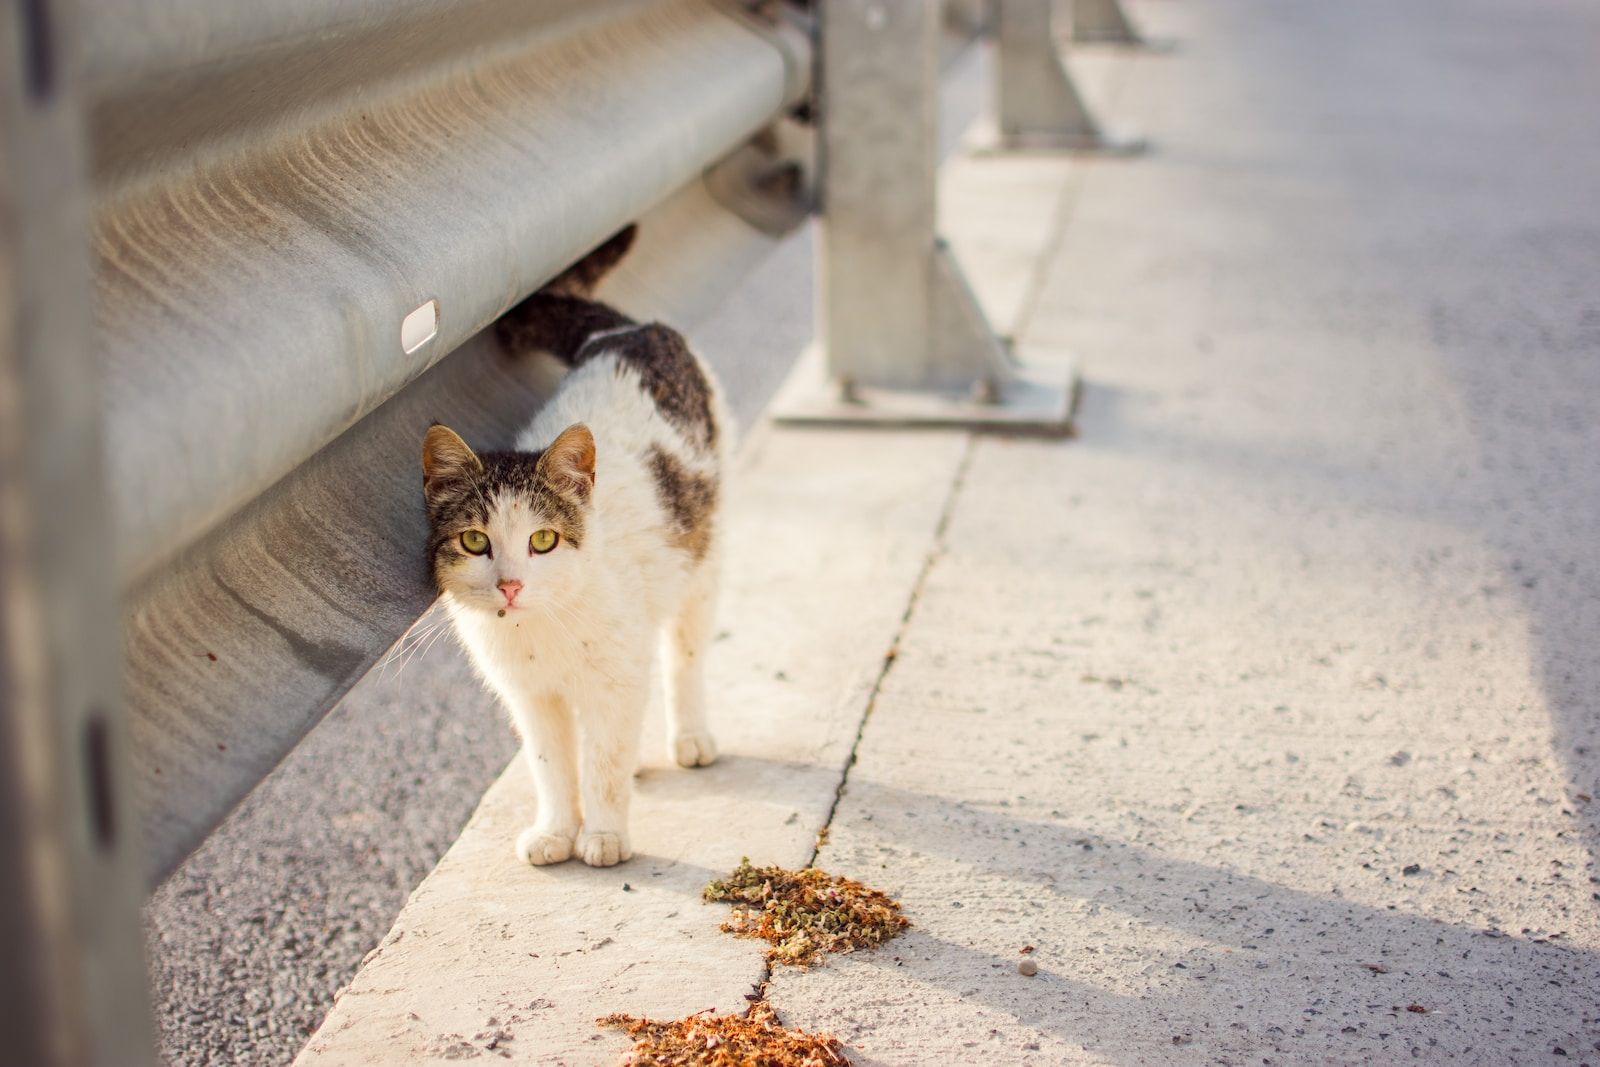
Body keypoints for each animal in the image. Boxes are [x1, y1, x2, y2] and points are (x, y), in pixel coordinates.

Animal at [422, 225, 729, 870]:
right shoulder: (532, 699)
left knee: (684, 655)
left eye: (542, 540)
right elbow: (552, 767)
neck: (539, 629)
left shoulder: (613, 676)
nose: (510, 585)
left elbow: (604, 762)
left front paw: (605, 834)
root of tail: (623, 332)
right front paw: (557, 831)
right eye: (474, 540)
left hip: (703, 558)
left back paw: (690, 736)